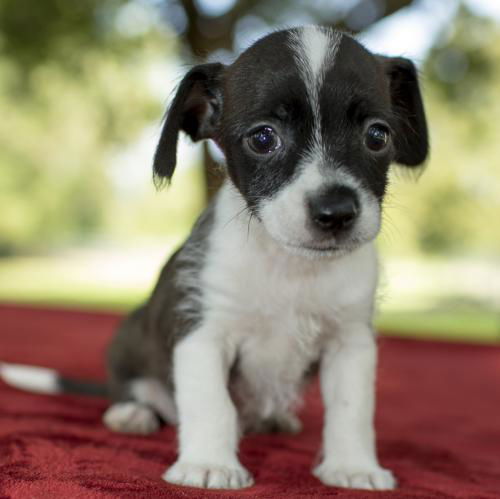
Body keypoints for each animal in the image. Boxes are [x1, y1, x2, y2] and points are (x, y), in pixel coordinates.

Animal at [1, 26, 428, 492]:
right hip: (129, 339)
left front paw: (353, 466)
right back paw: (131, 413)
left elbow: (352, 411)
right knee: (135, 391)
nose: (335, 212)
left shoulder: (350, 344)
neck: (289, 268)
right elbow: (212, 405)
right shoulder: (203, 334)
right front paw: (210, 463)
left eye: (377, 136)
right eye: (263, 138)